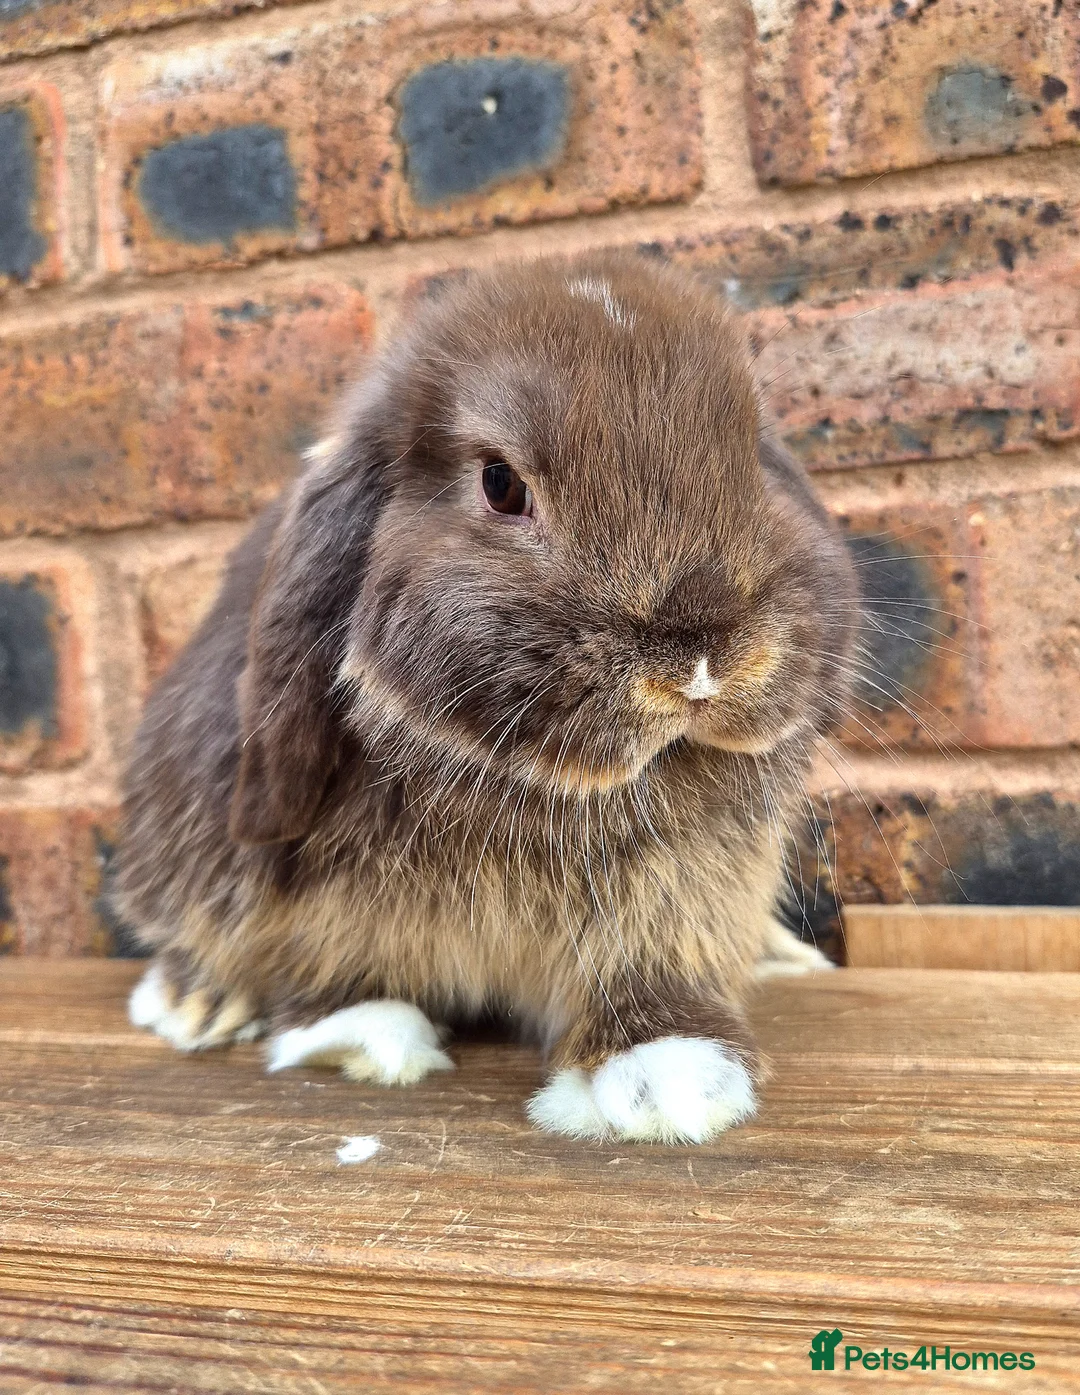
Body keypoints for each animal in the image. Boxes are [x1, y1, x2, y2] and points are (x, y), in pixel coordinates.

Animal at [117, 250, 857, 1144]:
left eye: (755, 452)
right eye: (501, 484)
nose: (701, 660)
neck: (529, 786)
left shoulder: (675, 904)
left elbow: (652, 981)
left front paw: (671, 1079)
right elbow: (328, 977)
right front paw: (362, 1034)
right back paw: (196, 1003)